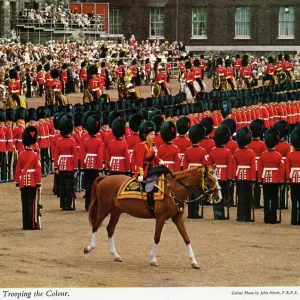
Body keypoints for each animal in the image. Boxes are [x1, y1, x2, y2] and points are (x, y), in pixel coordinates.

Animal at [83, 166, 221, 270]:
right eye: (209, 179)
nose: (219, 197)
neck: (172, 189)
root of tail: (105, 177)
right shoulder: (161, 218)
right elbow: (157, 237)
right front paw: (153, 259)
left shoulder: (177, 218)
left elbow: (186, 238)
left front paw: (194, 261)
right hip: (104, 209)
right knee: (96, 225)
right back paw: (89, 248)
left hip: (116, 211)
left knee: (110, 229)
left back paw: (115, 255)